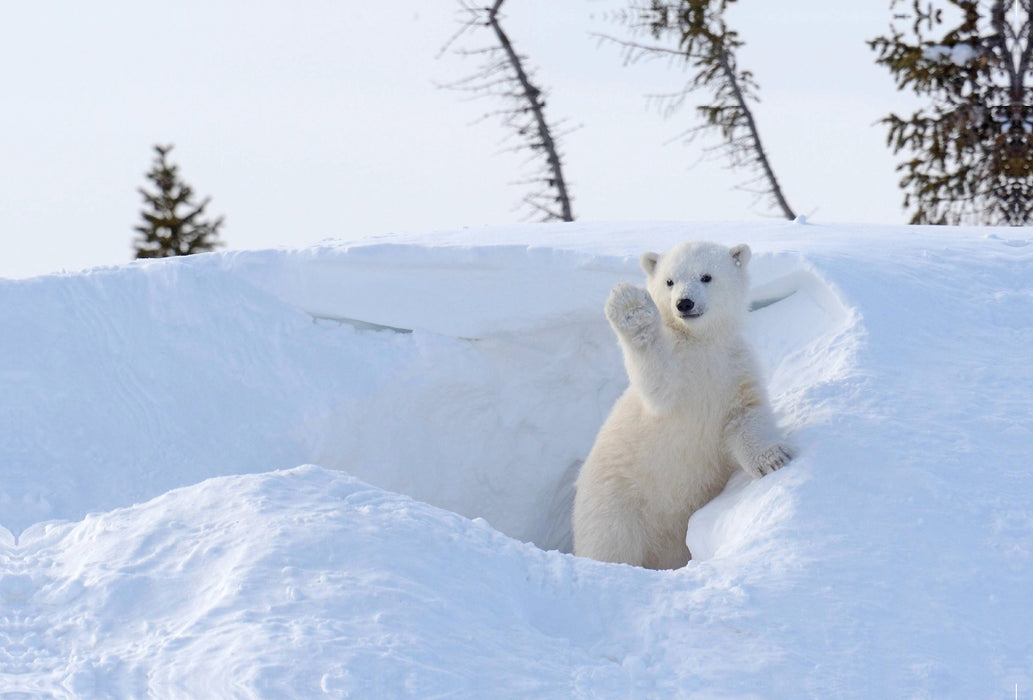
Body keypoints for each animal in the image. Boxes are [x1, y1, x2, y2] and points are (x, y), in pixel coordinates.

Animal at [574, 241, 789, 569]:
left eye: (706, 276)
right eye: (669, 281)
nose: (684, 303)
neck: (701, 344)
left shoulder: (735, 368)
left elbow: (745, 416)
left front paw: (773, 460)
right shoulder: (676, 381)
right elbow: (658, 383)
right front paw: (630, 308)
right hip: (616, 503)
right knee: (610, 544)